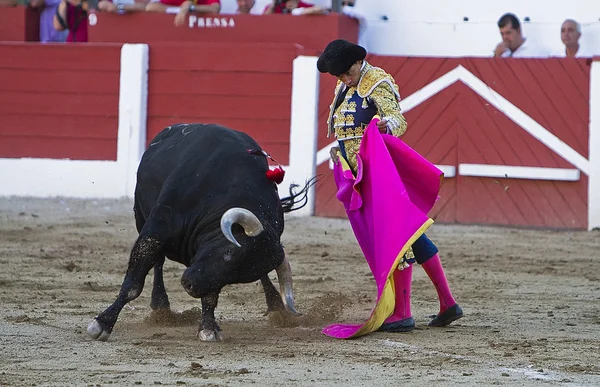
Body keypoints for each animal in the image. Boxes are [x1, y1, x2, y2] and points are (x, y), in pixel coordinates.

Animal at [88, 124, 312, 342]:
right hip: (141, 216)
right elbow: (133, 284)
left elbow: (211, 294)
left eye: (239, 276)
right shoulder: (156, 229)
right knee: (158, 262)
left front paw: (208, 327)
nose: (190, 285)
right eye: (229, 253)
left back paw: (276, 308)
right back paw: (160, 306)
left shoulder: (211, 272)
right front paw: (102, 324)